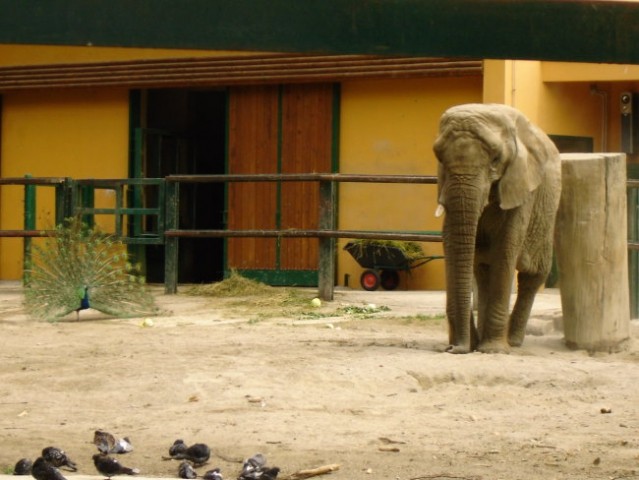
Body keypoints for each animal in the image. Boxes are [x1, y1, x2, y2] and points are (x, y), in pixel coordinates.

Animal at [432, 104, 564, 352]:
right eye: (439, 157)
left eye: (496, 159)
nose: (454, 348)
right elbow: (451, 243)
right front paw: (472, 346)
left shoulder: (522, 183)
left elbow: (505, 249)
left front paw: (492, 349)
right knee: (483, 270)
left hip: (548, 208)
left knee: (533, 276)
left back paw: (512, 341)